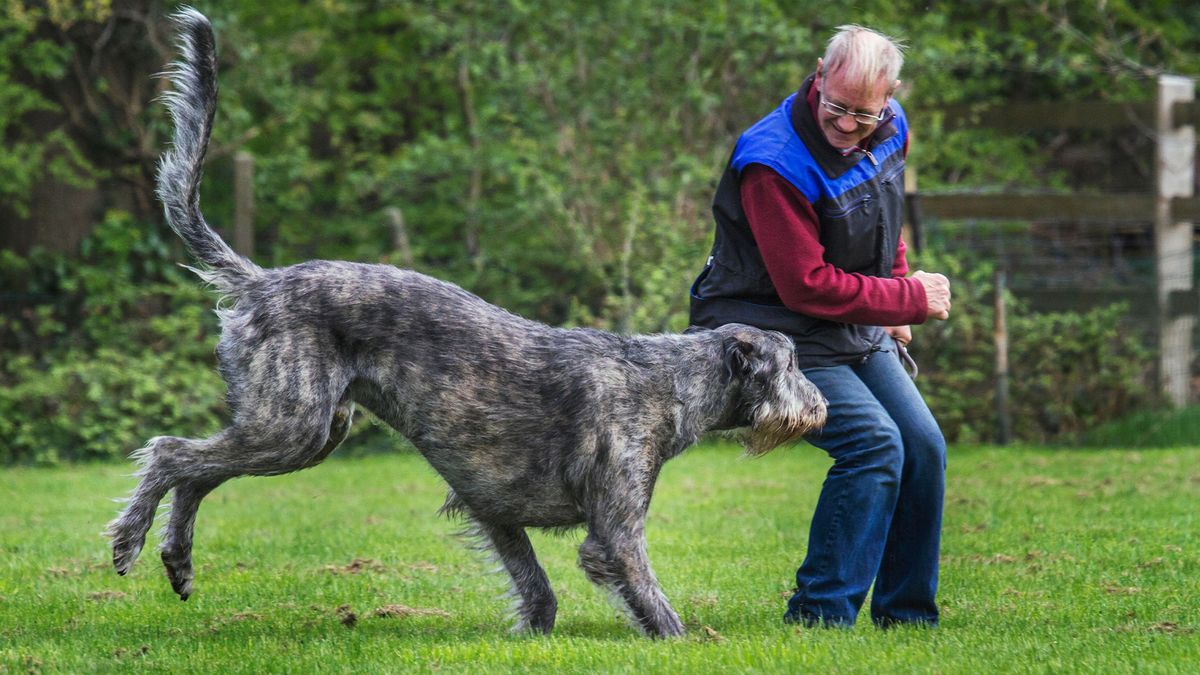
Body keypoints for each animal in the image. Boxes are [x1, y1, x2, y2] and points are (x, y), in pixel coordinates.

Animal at [108, 9, 825, 634]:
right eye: (790, 363)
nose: (820, 409)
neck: (670, 379)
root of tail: (259, 280)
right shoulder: (614, 532)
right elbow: (651, 602)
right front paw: (685, 641)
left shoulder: (493, 505)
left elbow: (538, 590)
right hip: (289, 425)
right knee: (171, 454)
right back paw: (131, 539)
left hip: (308, 431)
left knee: (198, 472)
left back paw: (177, 560)